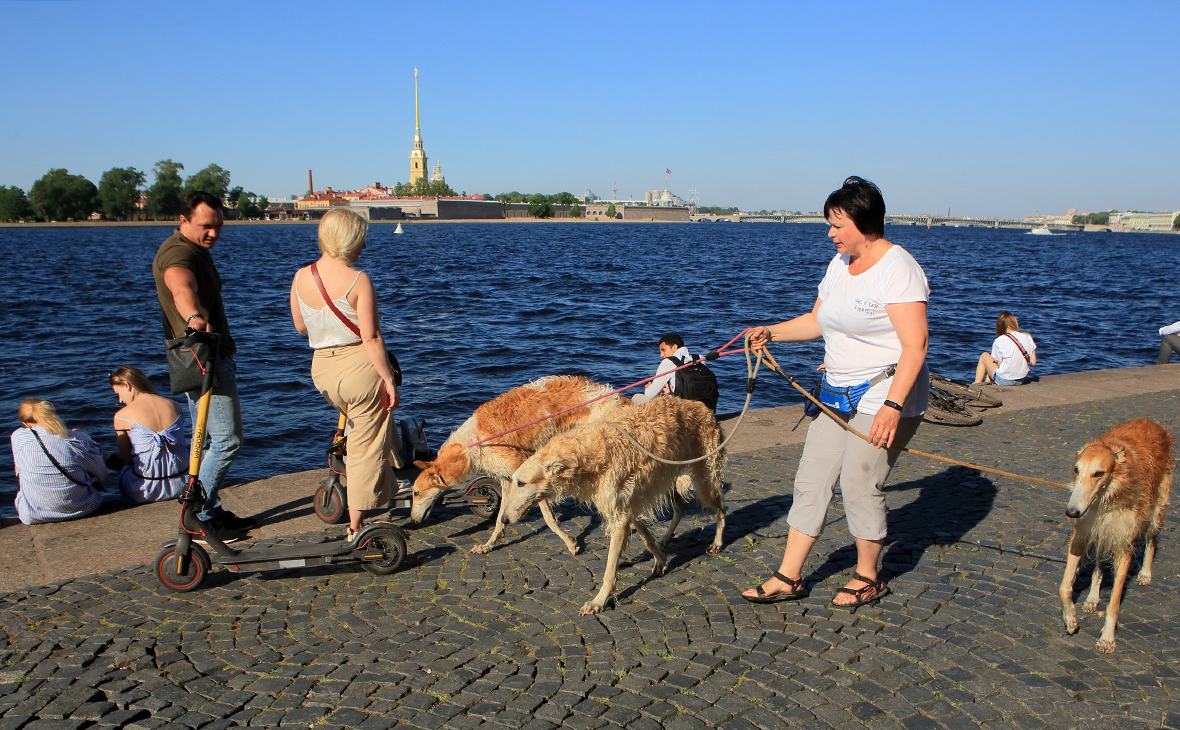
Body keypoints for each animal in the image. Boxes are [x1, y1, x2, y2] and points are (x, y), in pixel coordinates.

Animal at [410, 377, 627, 554]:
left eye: (416, 493)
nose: (412, 521)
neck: (474, 442)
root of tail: (617, 398)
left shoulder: (529, 476)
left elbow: (548, 518)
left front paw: (570, 543)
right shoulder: (507, 481)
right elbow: (500, 519)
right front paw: (488, 545)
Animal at [502, 400, 722, 617]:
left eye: (521, 483)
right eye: (514, 481)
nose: (503, 519)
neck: (589, 453)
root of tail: (704, 408)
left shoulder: (621, 516)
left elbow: (610, 570)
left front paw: (598, 602)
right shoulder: (628, 506)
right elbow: (647, 539)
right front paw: (660, 559)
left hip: (704, 478)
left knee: (721, 509)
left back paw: (716, 543)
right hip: (666, 480)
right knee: (682, 506)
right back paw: (665, 540)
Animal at [1062, 419, 1170, 655]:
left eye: (1098, 473)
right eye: (1076, 469)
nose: (1071, 512)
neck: (1107, 497)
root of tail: (1150, 422)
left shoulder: (1124, 544)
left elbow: (1114, 603)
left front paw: (1107, 638)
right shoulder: (1083, 533)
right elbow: (1064, 586)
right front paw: (1071, 618)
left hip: (1155, 508)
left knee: (1151, 540)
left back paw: (1145, 573)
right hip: (1103, 532)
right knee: (1100, 563)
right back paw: (1093, 597)